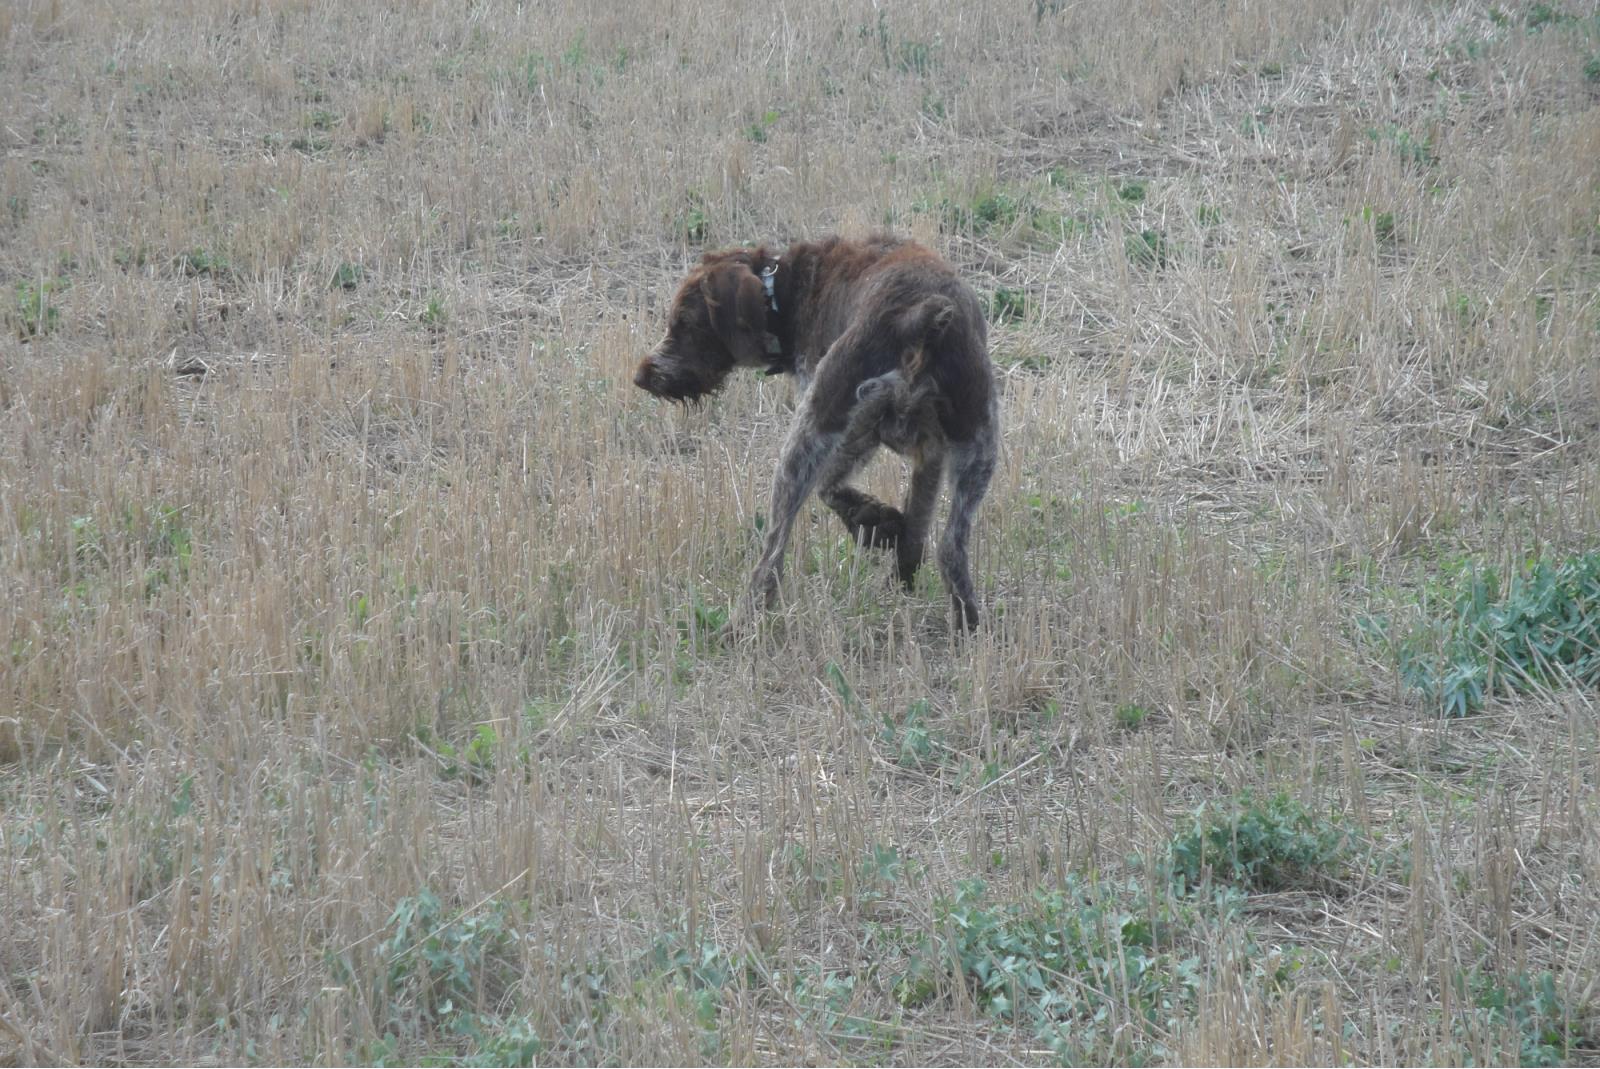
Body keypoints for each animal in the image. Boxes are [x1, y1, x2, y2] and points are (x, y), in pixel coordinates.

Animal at [634, 234, 998, 629]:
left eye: (683, 322)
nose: (641, 376)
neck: (784, 292)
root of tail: (918, 317)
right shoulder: (928, 451)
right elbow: (916, 523)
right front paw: (898, 566)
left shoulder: (849, 427)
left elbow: (828, 487)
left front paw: (874, 521)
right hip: (980, 446)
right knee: (951, 546)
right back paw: (967, 622)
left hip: (806, 439)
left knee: (774, 551)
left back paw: (743, 621)